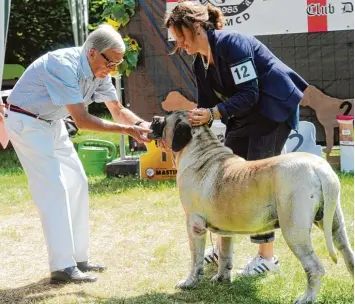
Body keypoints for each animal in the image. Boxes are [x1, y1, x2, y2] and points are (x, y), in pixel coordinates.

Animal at [149, 110, 354, 304]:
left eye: (166, 117)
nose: (154, 119)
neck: (200, 149)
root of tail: (320, 168)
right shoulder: (225, 229)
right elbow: (224, 254)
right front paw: (222, 278)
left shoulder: (194, 225)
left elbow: (196, 259)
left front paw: (190, 282)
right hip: (334, 224)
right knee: (348, 254)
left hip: (294, 231)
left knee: (315, 268)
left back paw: (306, 298)